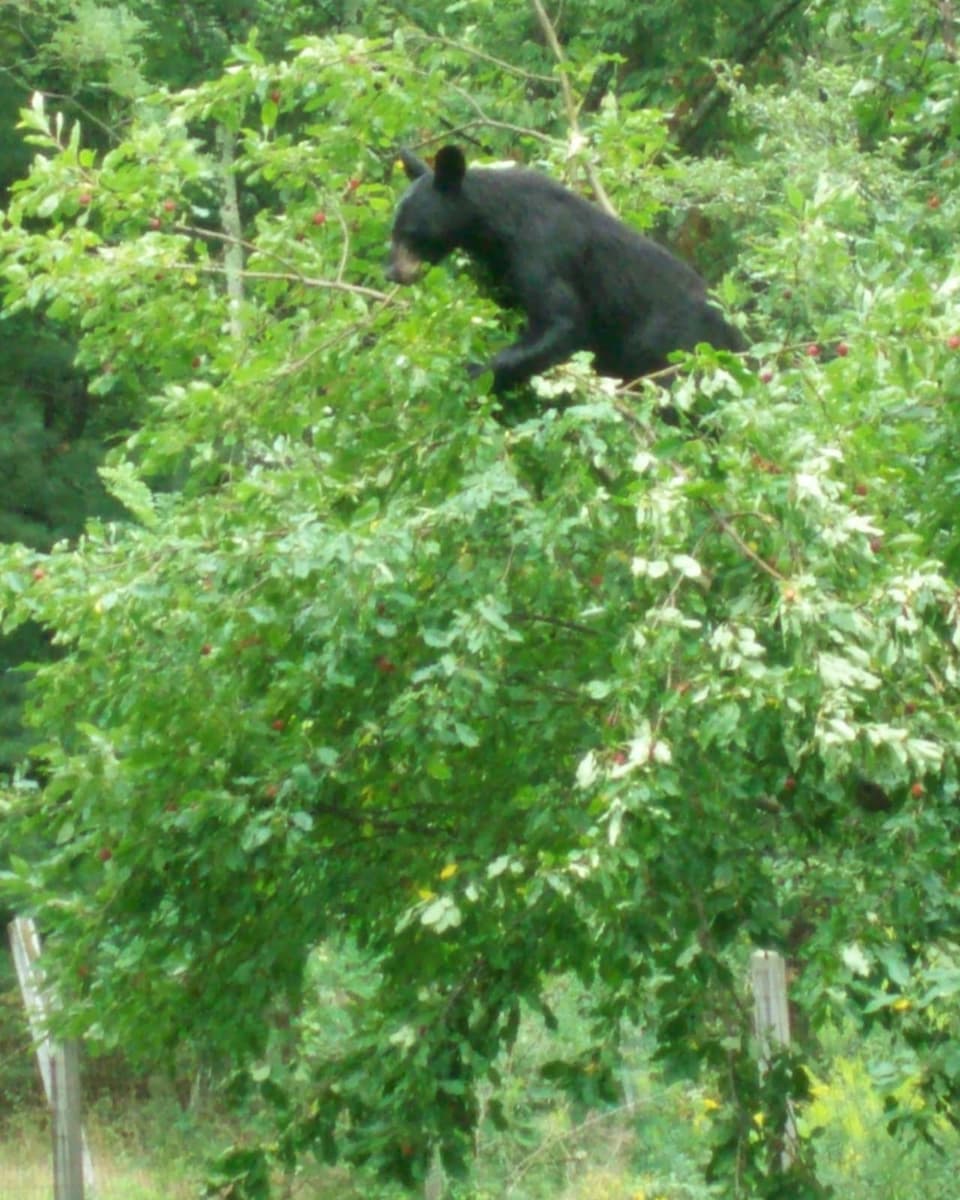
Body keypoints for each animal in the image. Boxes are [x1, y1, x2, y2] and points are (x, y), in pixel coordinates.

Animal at [388, 143, 744, 391]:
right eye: (393, 230)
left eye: (411, 233)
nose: (391, 272)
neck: (498, 227)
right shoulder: (503, 264)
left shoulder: (541, 250)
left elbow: (564, 321)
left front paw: (477, 371)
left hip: (680, 344)